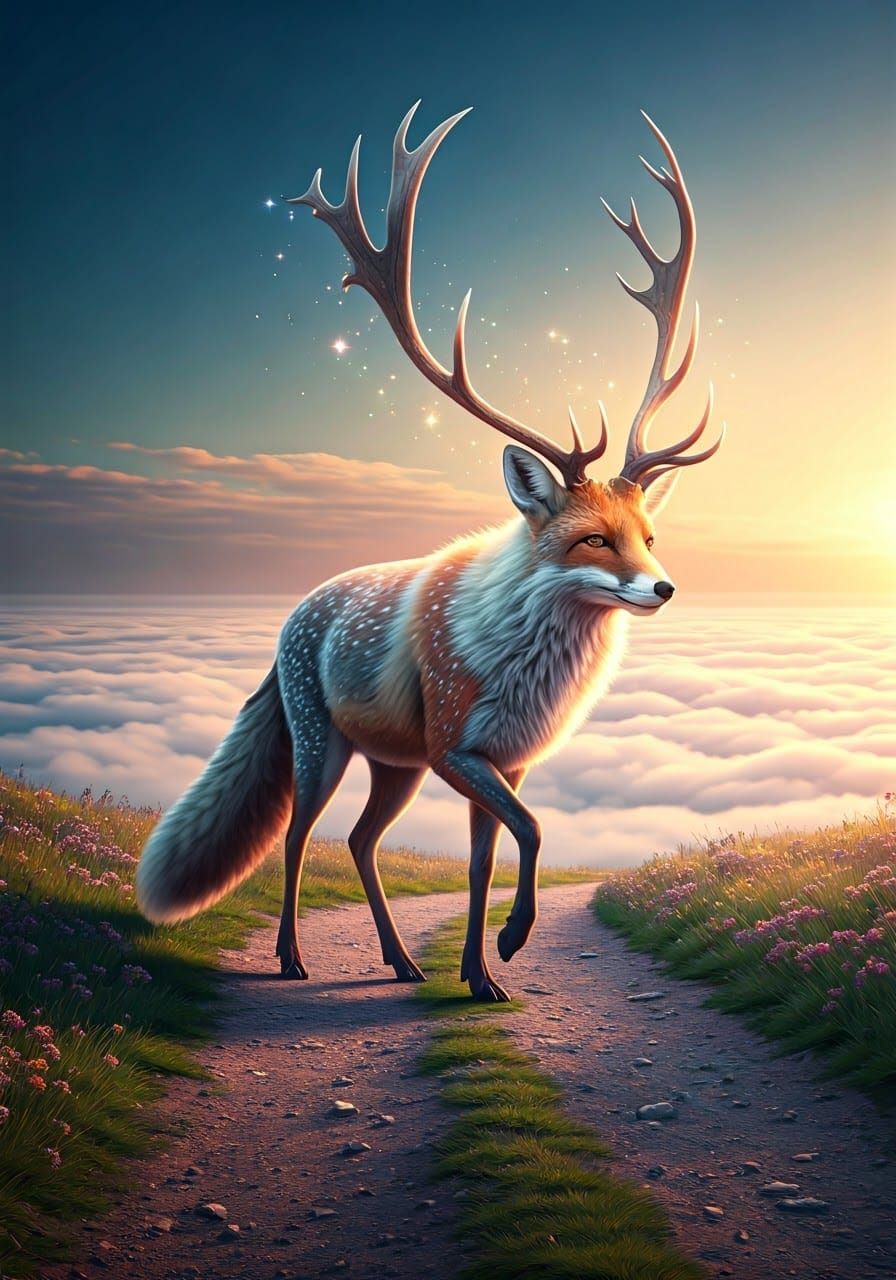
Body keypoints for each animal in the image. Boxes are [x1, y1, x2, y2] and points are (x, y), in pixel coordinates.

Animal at [136, 104, 724, 1001]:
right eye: (593, 538)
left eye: (647, 537)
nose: (662, 589)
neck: (521, 669)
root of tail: (292, 617)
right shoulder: (457, 745)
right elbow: (535, 831)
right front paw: (512, 942)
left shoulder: (503, 760)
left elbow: (488, 858)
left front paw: (482, 974)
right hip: (323, 742)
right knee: (300, 834)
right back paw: (292, 957)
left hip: (395, 766)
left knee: (360, 840)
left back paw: (404, 961)